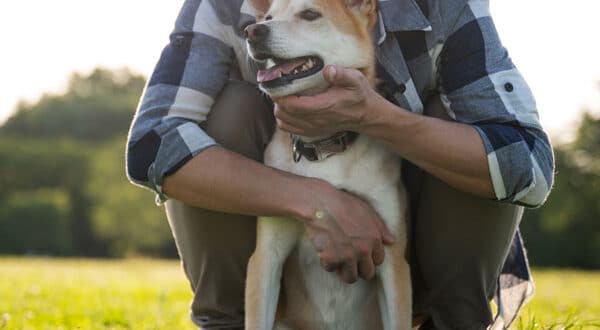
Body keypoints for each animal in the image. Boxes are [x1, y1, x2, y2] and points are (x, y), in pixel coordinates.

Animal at [245, 1, 412, 328]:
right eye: (269, 17)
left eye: (310, 14)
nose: (253, 31)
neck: (324, 147)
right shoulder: (265, 256)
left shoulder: (394, 261)